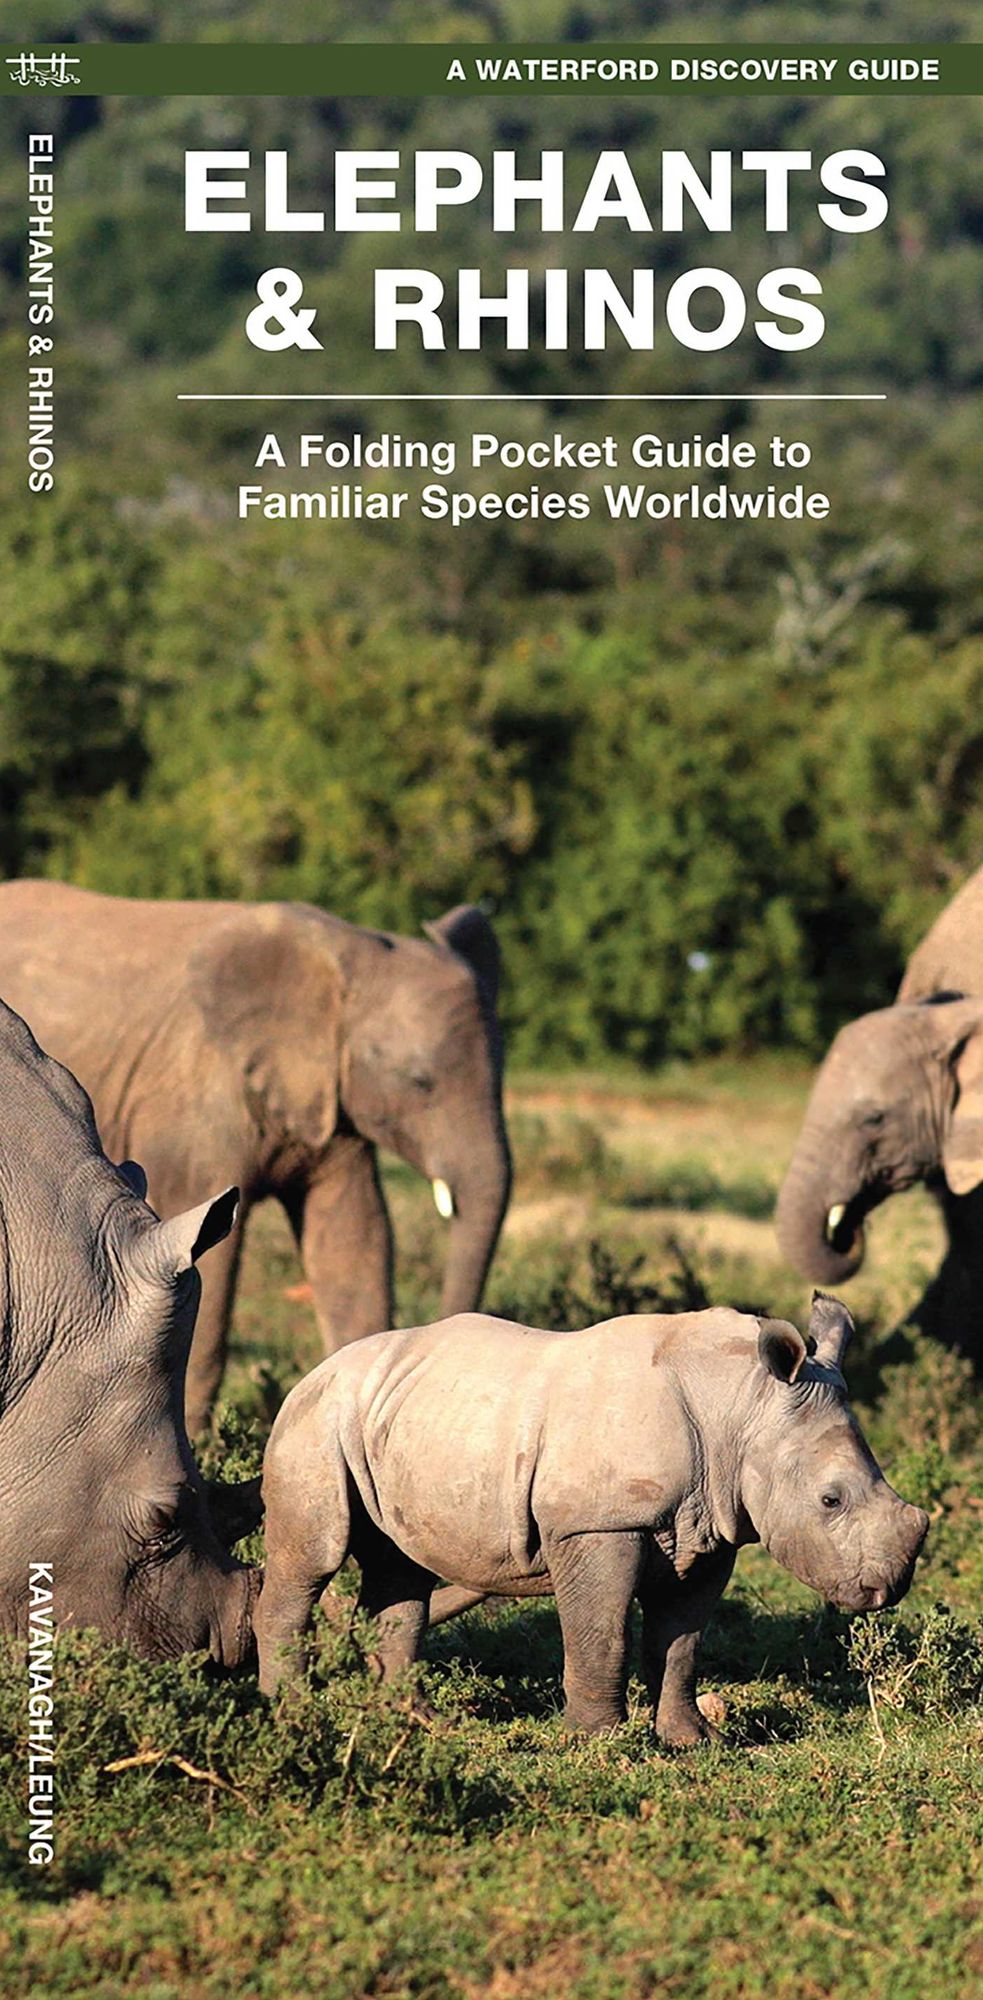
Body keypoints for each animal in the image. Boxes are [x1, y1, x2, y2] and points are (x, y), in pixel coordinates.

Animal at [0, 880, 511, 1433]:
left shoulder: (329, 1099)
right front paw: (200, 1438)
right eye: (419, 1082)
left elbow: (353, 1236)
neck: (349, 951)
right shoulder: (198, 1092)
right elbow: (207, 1247)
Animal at [255, 1294, 928, 1736]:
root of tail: (315, 1369)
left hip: (402, 1417)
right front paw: (597, 1742)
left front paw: (692, 1741)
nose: (887, 1589)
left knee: (400, 1567)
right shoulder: (599, 1521)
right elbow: (600, 1633)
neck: (742, 1406)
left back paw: (419, 1720)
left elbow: (681, 1641)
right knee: (315, 1555)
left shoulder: (712, 1527)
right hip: (316, 1419)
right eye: (830, 1501)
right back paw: (288, 1710)